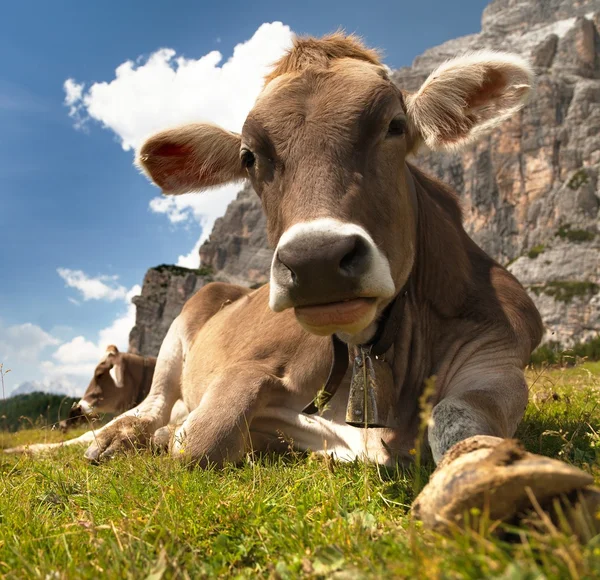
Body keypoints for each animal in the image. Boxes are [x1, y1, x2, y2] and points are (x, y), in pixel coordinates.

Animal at [8, 35, 596, 536]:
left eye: (394, 125)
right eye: (248, 156)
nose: (316, 260)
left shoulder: (497, 358)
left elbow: (457, 415)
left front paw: (487, 472)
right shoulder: (251, 364)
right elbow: (200, 439)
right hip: (182, 327)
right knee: (146, 409)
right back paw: (96, 440)